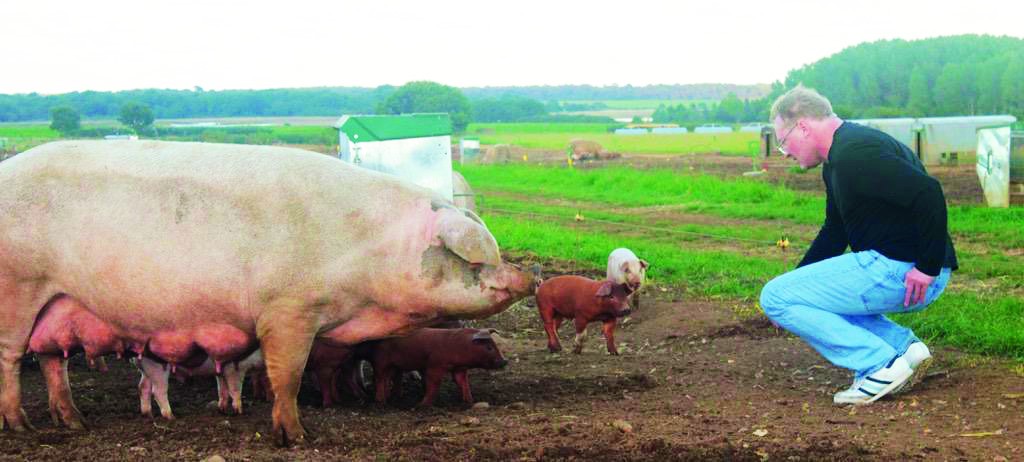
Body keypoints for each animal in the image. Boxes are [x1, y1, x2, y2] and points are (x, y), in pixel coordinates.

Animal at [372, 327, 507, 407]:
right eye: (489, 347)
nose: (505, 361)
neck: (459, 346)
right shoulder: (434, 366)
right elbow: (434, 384)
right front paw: (421, 405)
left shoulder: (459, 369)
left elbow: (463, 383)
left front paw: (470, 402)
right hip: (381, 361)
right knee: (379, 378)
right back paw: (381, 402)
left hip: (393, 366)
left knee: (388, 378)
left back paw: (391, 397)